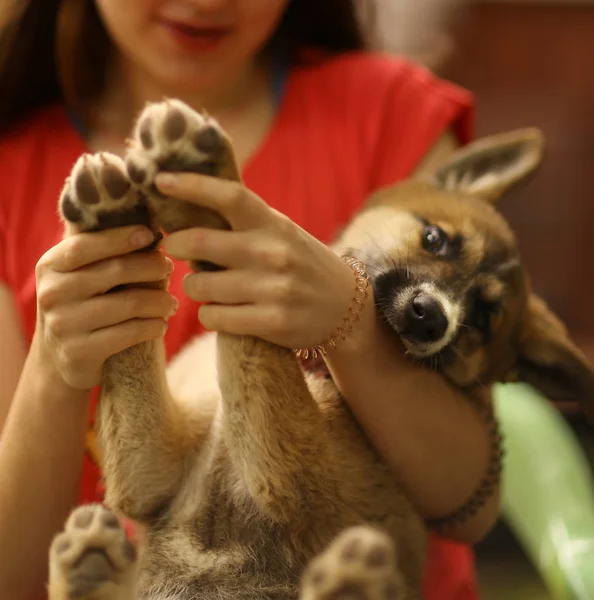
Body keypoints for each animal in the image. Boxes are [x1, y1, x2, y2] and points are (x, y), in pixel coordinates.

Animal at [47, 99, 592, 600]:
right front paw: (112, 218)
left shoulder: (290, 472)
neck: (314, 367)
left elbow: (255, 332)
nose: (433, 318)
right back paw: (91, 562)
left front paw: (204, 179)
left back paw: (352, 581)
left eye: (483, 320)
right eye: (435, 239)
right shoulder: (153, 473)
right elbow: (130, 341)